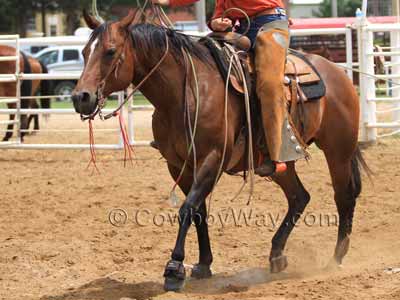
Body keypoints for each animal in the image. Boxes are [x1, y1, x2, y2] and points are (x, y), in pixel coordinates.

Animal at [72, 11, 368, 290]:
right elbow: (198, 211)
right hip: (281, 162)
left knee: (343, 196)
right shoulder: (178, 166)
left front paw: (174, 268)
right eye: (85, 52)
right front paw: (203, 264)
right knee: (299, 197)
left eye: (110, 51)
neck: (185, 93)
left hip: (338, 152)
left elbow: (187, 209)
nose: (80, 97)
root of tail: (337, 72)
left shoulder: (211, 159)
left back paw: (336, 259)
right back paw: (276, 255)